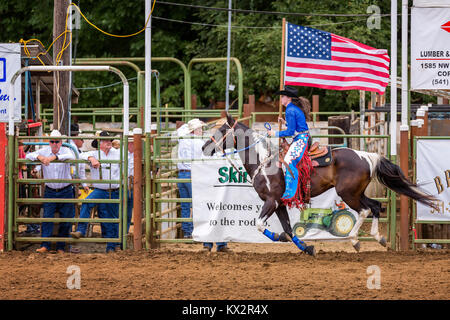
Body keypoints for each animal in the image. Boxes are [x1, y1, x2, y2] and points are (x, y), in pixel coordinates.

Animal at [202, 114, 438, 256]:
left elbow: (261, 225)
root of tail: (367, 156)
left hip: (347, 193)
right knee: (375, 206)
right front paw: (307, 248)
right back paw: (378, 238)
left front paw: (280, 238)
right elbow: (289, 230)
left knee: (364, 210)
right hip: (357, 192)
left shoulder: (271, 201)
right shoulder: (280, 204)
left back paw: (355, 240)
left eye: (220, 131)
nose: (205, 148)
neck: (265, 161)